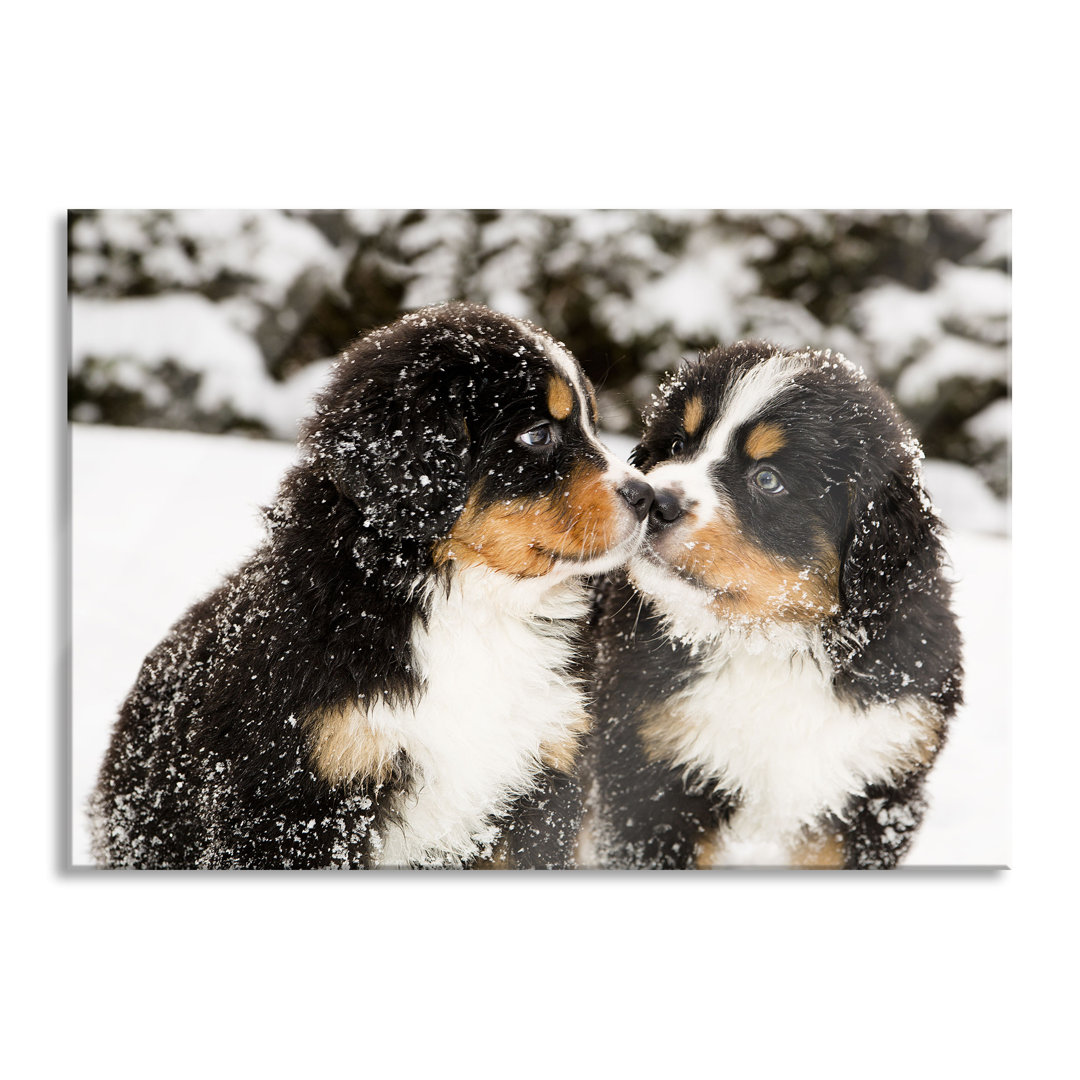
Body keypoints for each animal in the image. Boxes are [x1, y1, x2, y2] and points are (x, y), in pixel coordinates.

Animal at [90, 302, 648, 868]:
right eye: (538, 434)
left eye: (593, 423)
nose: (646, 496)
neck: (470, 607)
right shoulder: (299, 802)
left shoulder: (544, 779)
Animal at [587, 343, 967, 868]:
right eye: (677, 444)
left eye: (768, 479)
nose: (654, 501)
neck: (770, 644)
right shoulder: (651, 776)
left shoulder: (879, 786)